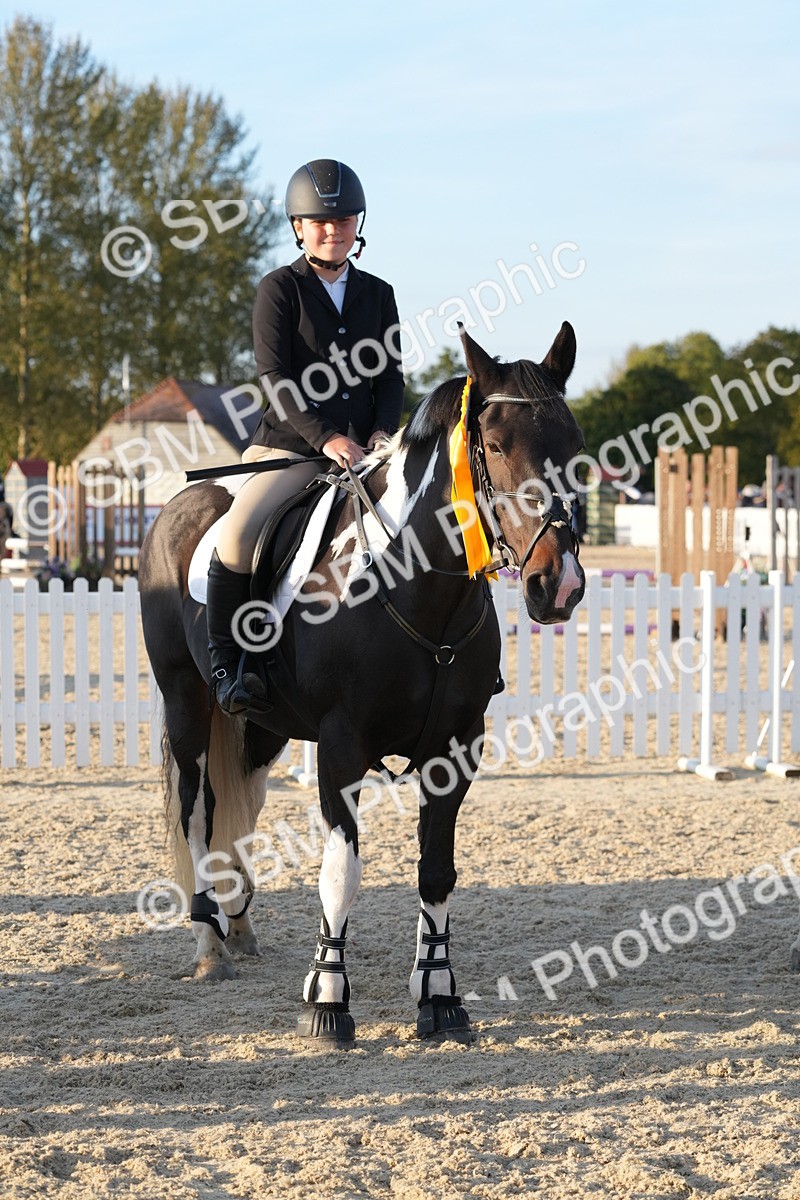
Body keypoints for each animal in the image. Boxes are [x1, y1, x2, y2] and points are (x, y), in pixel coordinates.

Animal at [138, 322, 586, 1045]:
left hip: (259, 727)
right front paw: (327, 1001)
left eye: (575, 447)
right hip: (187, 702)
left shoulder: (455, 750)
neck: (419, 588)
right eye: (493, 447)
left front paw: (439, 997)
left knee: (241, 806)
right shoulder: (342, 746)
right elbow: (340, 874)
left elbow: (437, 871)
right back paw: (209, 945)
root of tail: (179, 505)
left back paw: (239, 926)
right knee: (196, 808)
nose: (560, 584)